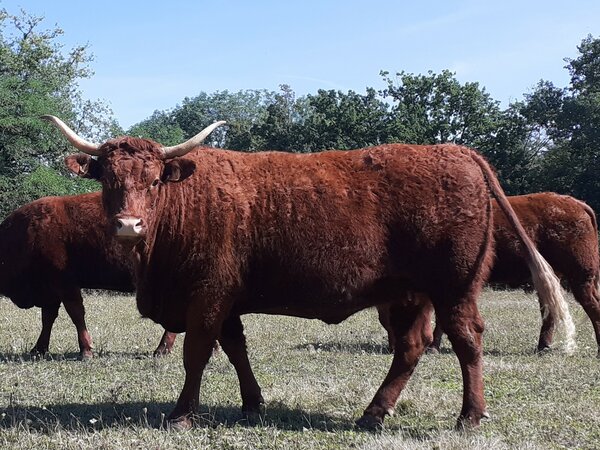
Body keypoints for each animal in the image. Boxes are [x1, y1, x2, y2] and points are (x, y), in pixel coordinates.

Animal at [0, 192, 178, 358]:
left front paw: (85, 350)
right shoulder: (51, 289)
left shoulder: (65, 284)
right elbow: (48, 318)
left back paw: (161, 349)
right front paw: (38, 349)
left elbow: (76, 313)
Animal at [44, 115, 576, 428]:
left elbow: (197, 353)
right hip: (408, 294)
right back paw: (372, 414)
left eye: (154, 181)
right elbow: (236, 350)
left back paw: (469, 416)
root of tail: (461, 152)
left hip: (454, 287)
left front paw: (181, 414)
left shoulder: (208, 294)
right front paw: (252, 403)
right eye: (108, 180)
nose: (128, 225)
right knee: (411, 347)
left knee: (466, 341)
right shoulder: (228, 299)